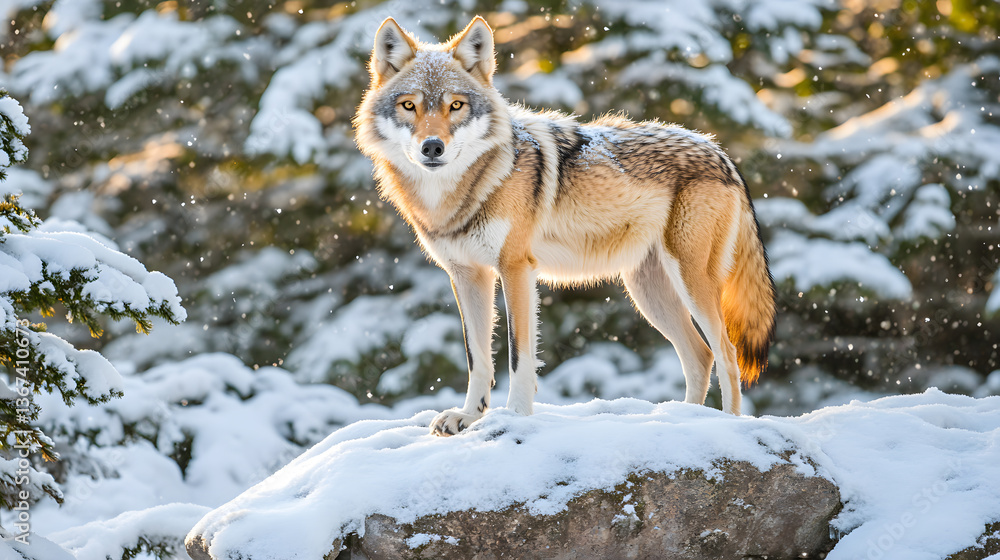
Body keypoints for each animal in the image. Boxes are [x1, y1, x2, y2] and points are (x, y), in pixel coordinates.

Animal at [354, 16, 776, 436]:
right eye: (409, 105)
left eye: (455, 105)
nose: (432, 147)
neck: (461, 192)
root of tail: (721, 152)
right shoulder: (467, 275)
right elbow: (478, 358)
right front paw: (470, 416)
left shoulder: (516, 269)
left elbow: (518, 357)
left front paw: (515, 417)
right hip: (648, 292)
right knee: (700, 355)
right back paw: (684, 421)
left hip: (689, 280)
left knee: (727, 353)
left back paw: (728, 425)